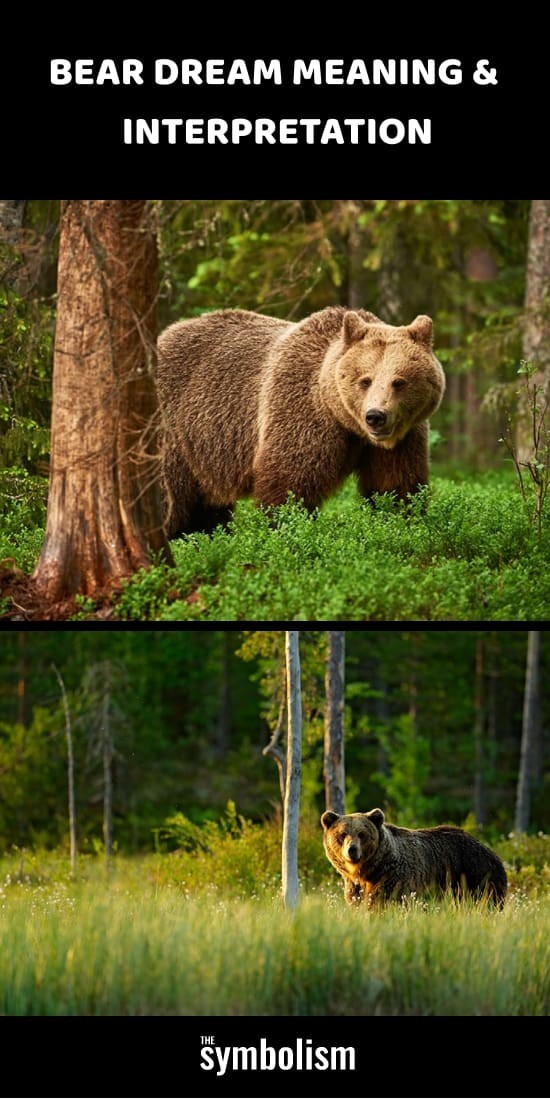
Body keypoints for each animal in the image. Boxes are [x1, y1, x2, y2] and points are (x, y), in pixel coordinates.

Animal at [156, 305, 446, 536]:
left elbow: (395, 485)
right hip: (175, 430)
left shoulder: (402, 440)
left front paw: (401, 522)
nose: (375, 416)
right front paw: (286, 528)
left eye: (399, 382)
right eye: (365, 380)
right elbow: (290, 484)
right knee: (172, 497)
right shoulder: (301, 411)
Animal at [321, 805, 508, 906]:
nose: (352, 850)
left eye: (362, 834)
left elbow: (382, 901)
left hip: (476, 875)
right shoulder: (354, 886)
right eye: (343, 834)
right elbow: (358, 901)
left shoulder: (394, 878)